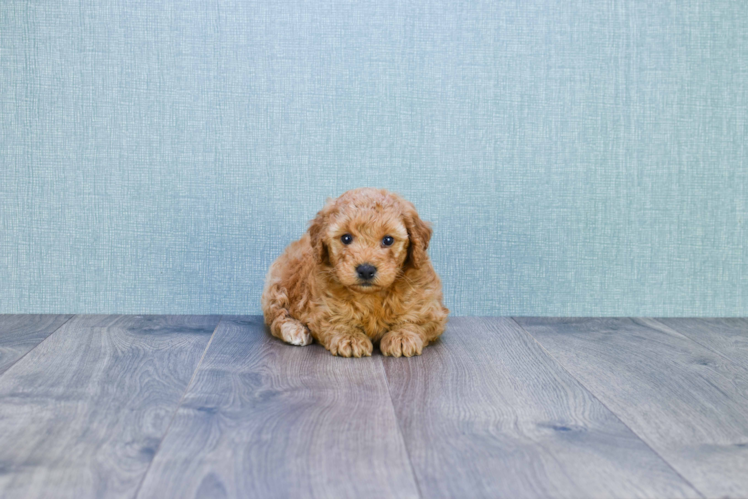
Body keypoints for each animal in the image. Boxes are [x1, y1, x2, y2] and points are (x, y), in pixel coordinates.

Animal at [262, 187, 450, 356]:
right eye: (346, 238)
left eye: (388, 240)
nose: (366, 270)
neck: (371, 296)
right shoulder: (322, 307)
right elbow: (335, 320)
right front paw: (350, 338)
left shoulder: (428, 306)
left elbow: (415, 320)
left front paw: (402, 336)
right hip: (278, 284)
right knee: (276, 316)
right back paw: (295, 330)